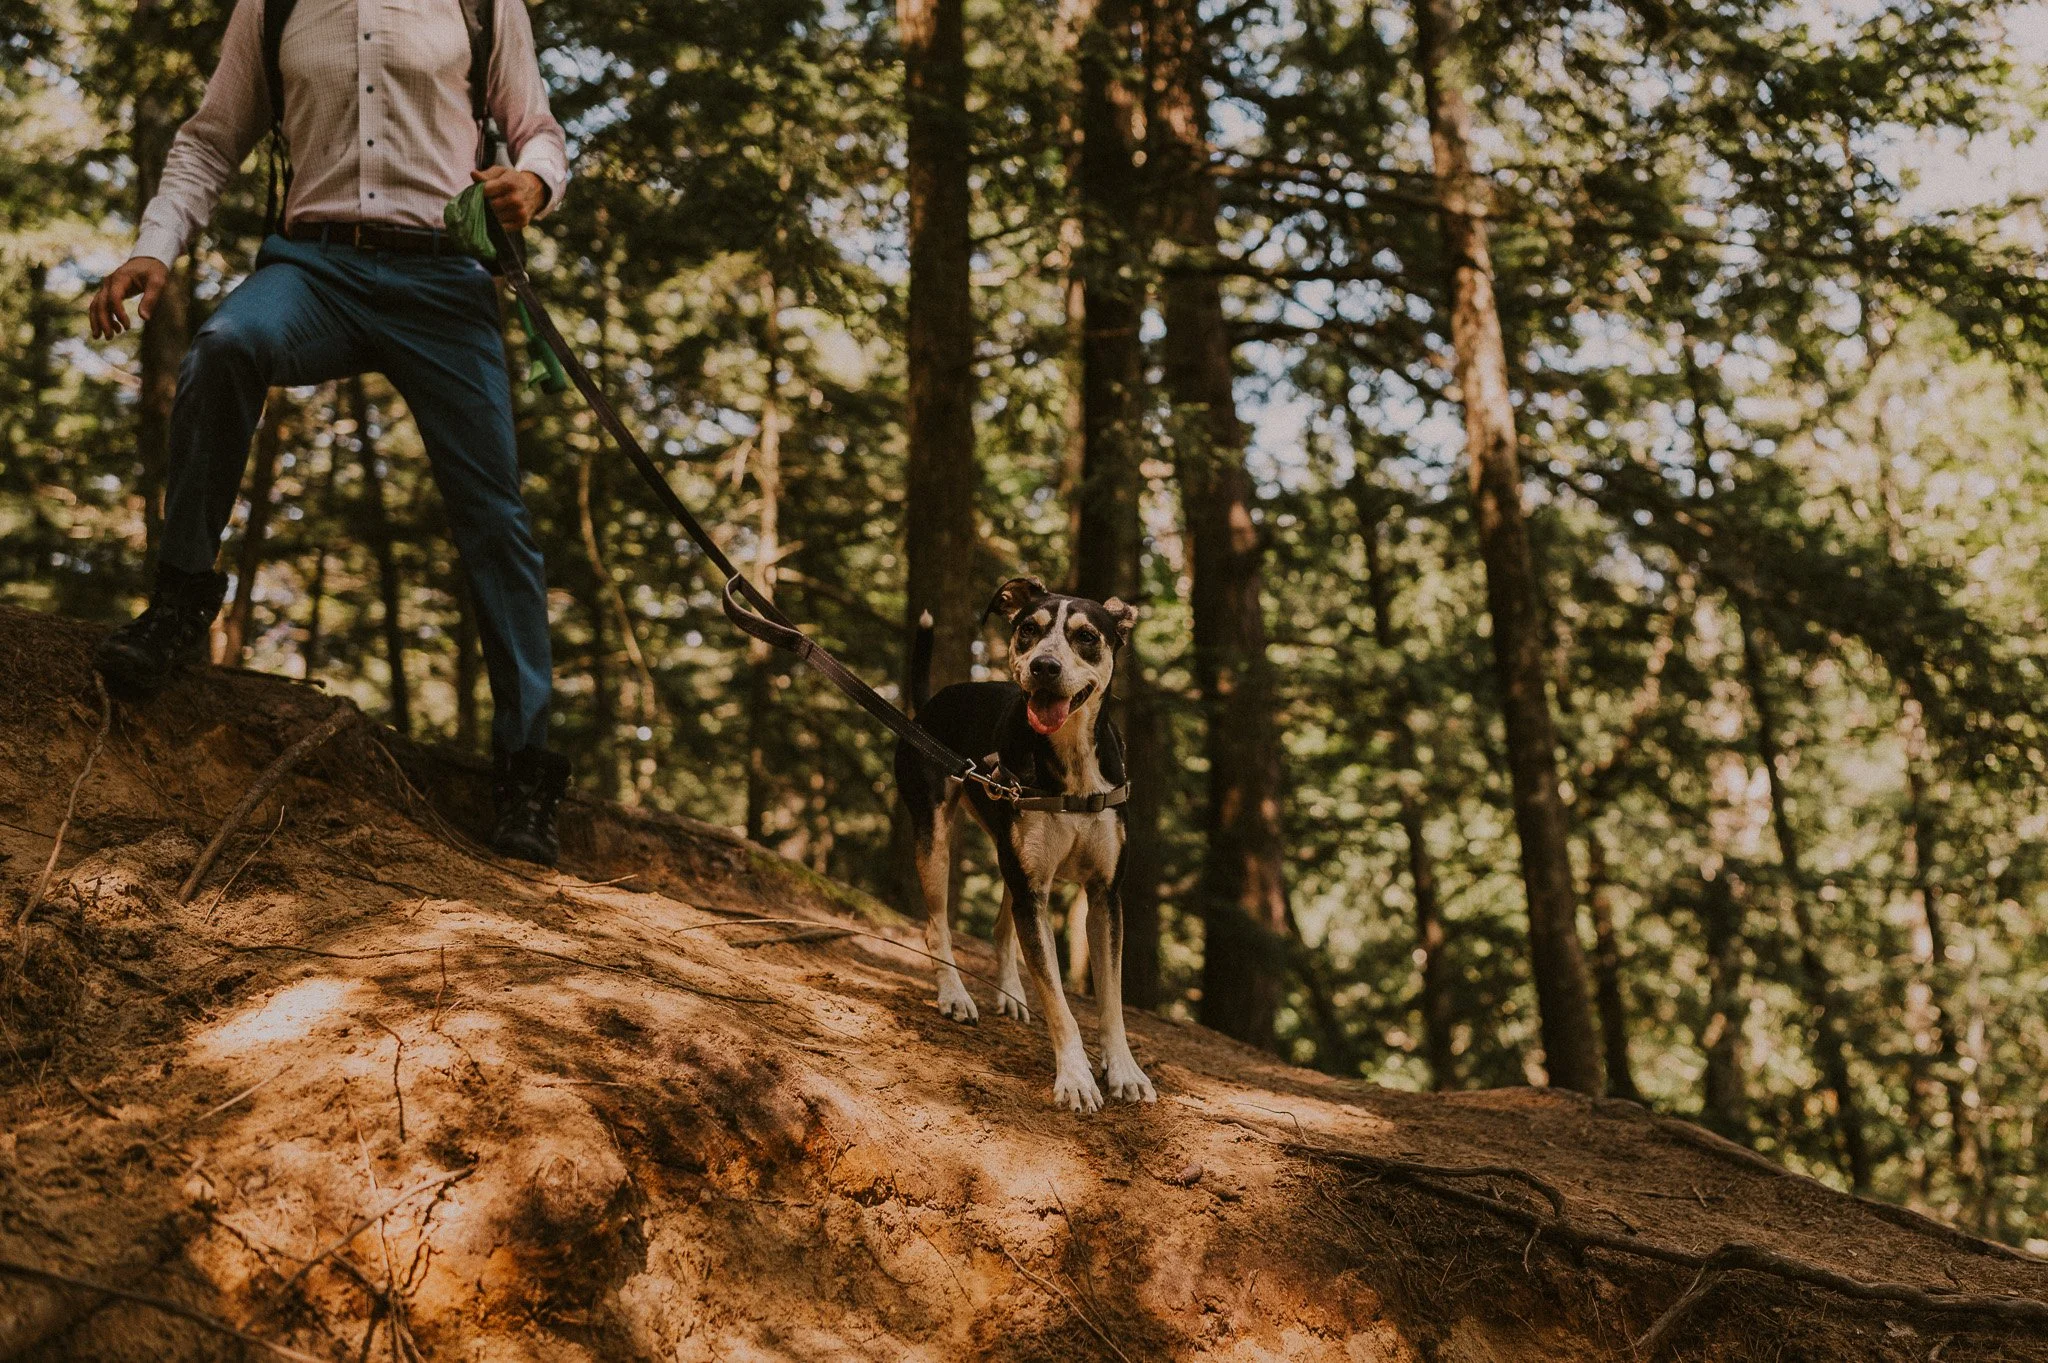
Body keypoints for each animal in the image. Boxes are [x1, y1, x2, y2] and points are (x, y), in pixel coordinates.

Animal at [892, 577, 1163, 1113]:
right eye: (1028, 631)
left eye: (1086, 637)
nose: (1044, 666)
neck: (1072, 765)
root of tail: (928, 706)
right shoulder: (1034, 890)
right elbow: (1059, 1002)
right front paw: (1076, 1077)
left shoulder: (1103, 895)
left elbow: (1111, 1000)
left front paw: (1124, 1070)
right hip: (937, 839)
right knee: (937, 927)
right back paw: (955, 994)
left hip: (1014, 864)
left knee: (1002, 929)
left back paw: (1012, 994)